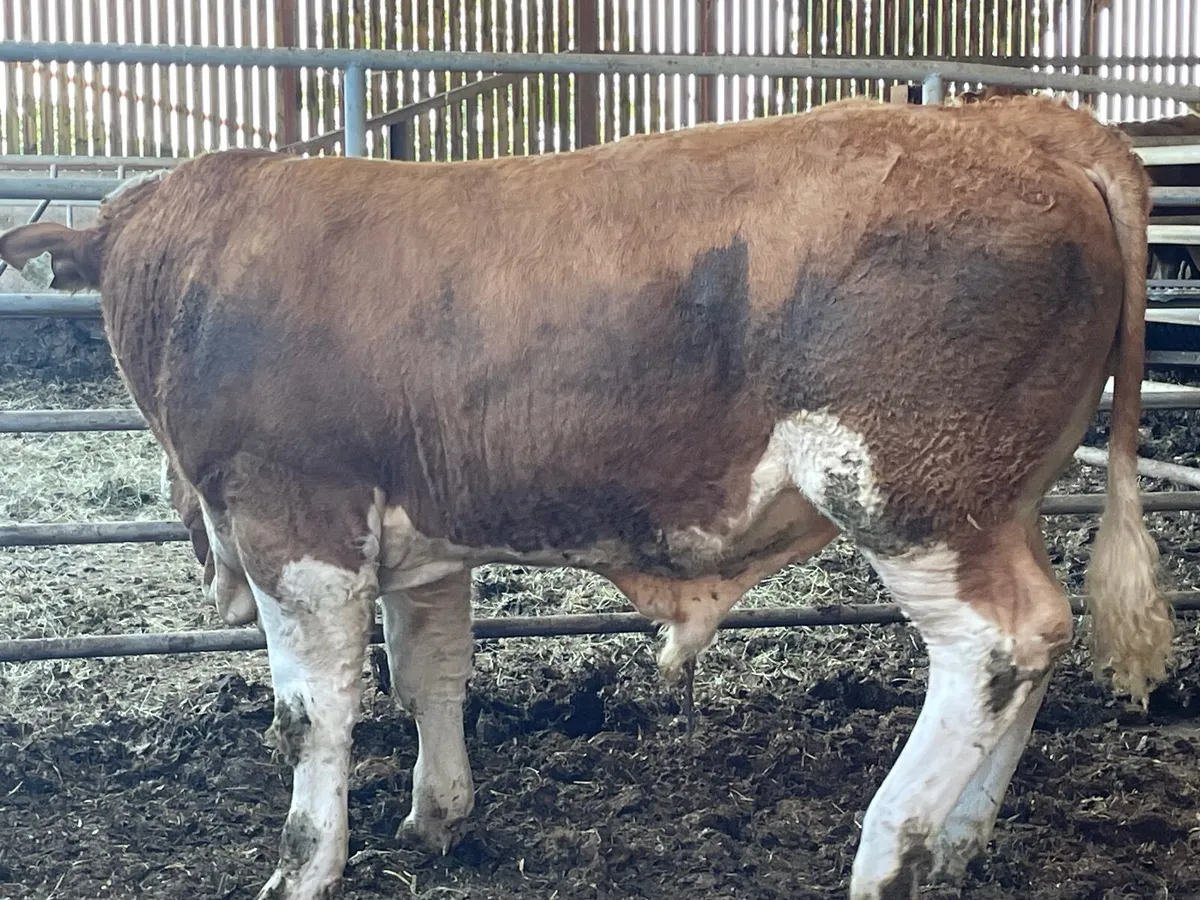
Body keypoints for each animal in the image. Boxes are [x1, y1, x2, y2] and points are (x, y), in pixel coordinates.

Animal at [0, 95, 1174, 900]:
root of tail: (1021, 121)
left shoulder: (293, 520)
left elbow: (311, 713)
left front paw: (302, 866)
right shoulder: (422, 535)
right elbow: (430, 674)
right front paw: (437, 819)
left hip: (913, 490)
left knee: (998, 642)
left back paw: (891, 852)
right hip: (1001, 496)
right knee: (1038, 642)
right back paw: (959, 845)